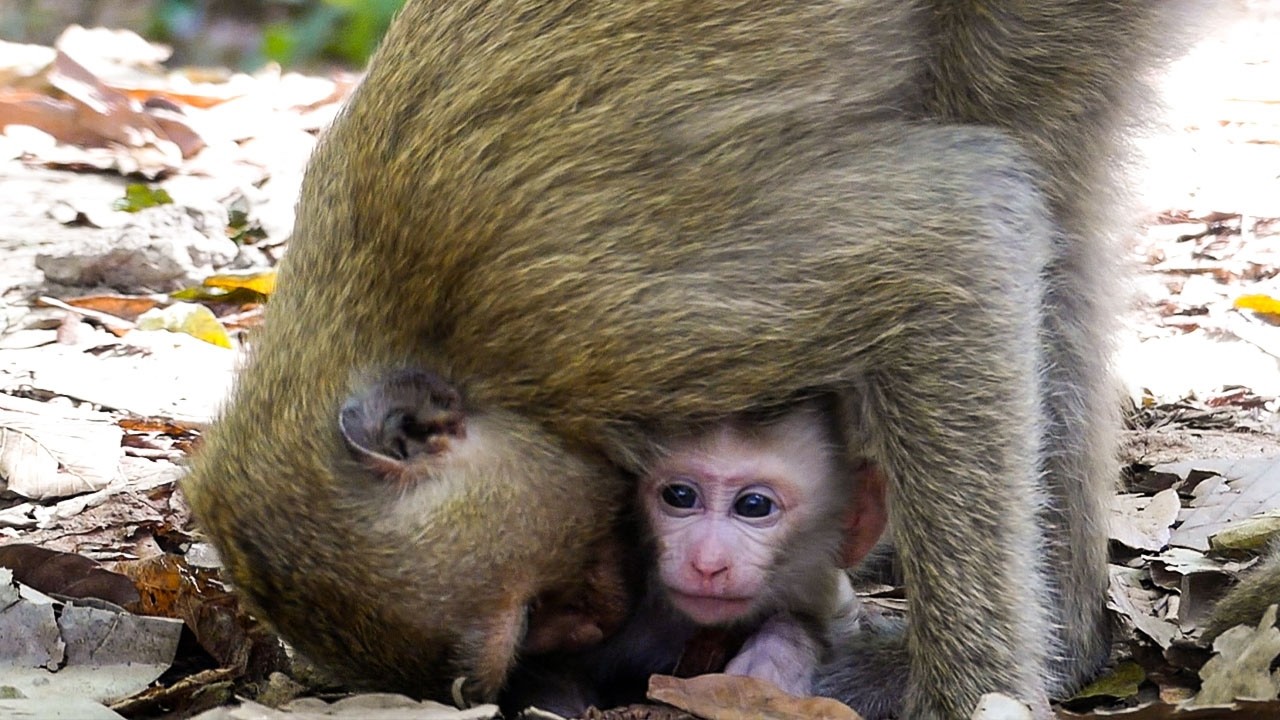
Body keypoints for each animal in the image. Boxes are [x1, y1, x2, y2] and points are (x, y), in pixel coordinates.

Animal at [180, 1, 1205, 718]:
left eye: (538, 607)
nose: (599, 618)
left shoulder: (604, 315)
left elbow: (956, 242)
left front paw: (966, 699)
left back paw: (1050, 644)